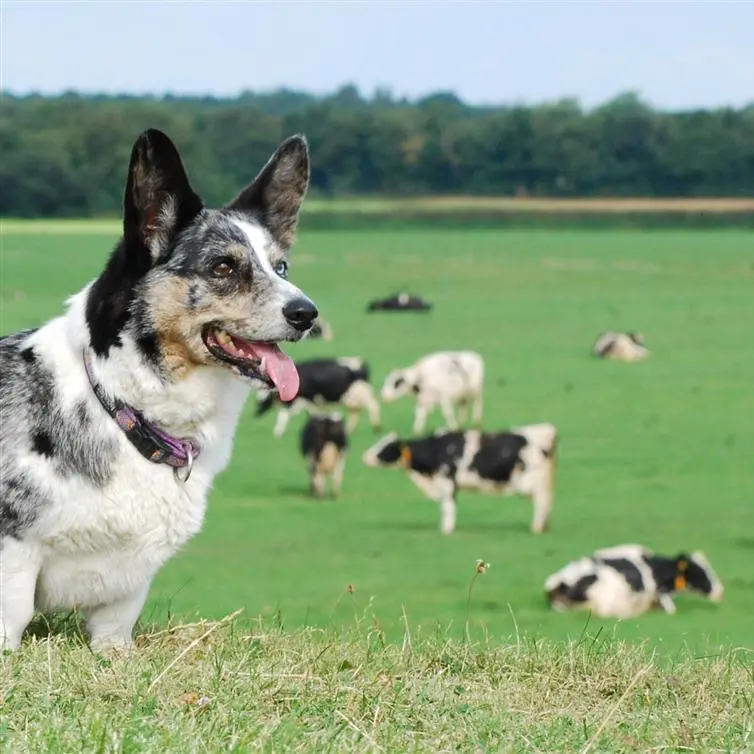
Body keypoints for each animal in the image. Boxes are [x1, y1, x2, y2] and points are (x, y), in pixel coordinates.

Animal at [0, 126, 318, 648]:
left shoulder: (122, 601)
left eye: (282, 267)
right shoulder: (14, 560)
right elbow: (14, 621)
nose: (307, 313)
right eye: (223, 268)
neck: (119, 406)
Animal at [362, 424, 556, 536]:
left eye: (386, 447)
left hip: (535, 484)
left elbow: (448, 507)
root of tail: (546, 430)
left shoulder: (447, 481)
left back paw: (536, 529)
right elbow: (446, 507)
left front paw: (446, 530)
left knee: (542, 503)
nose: (364, 456)